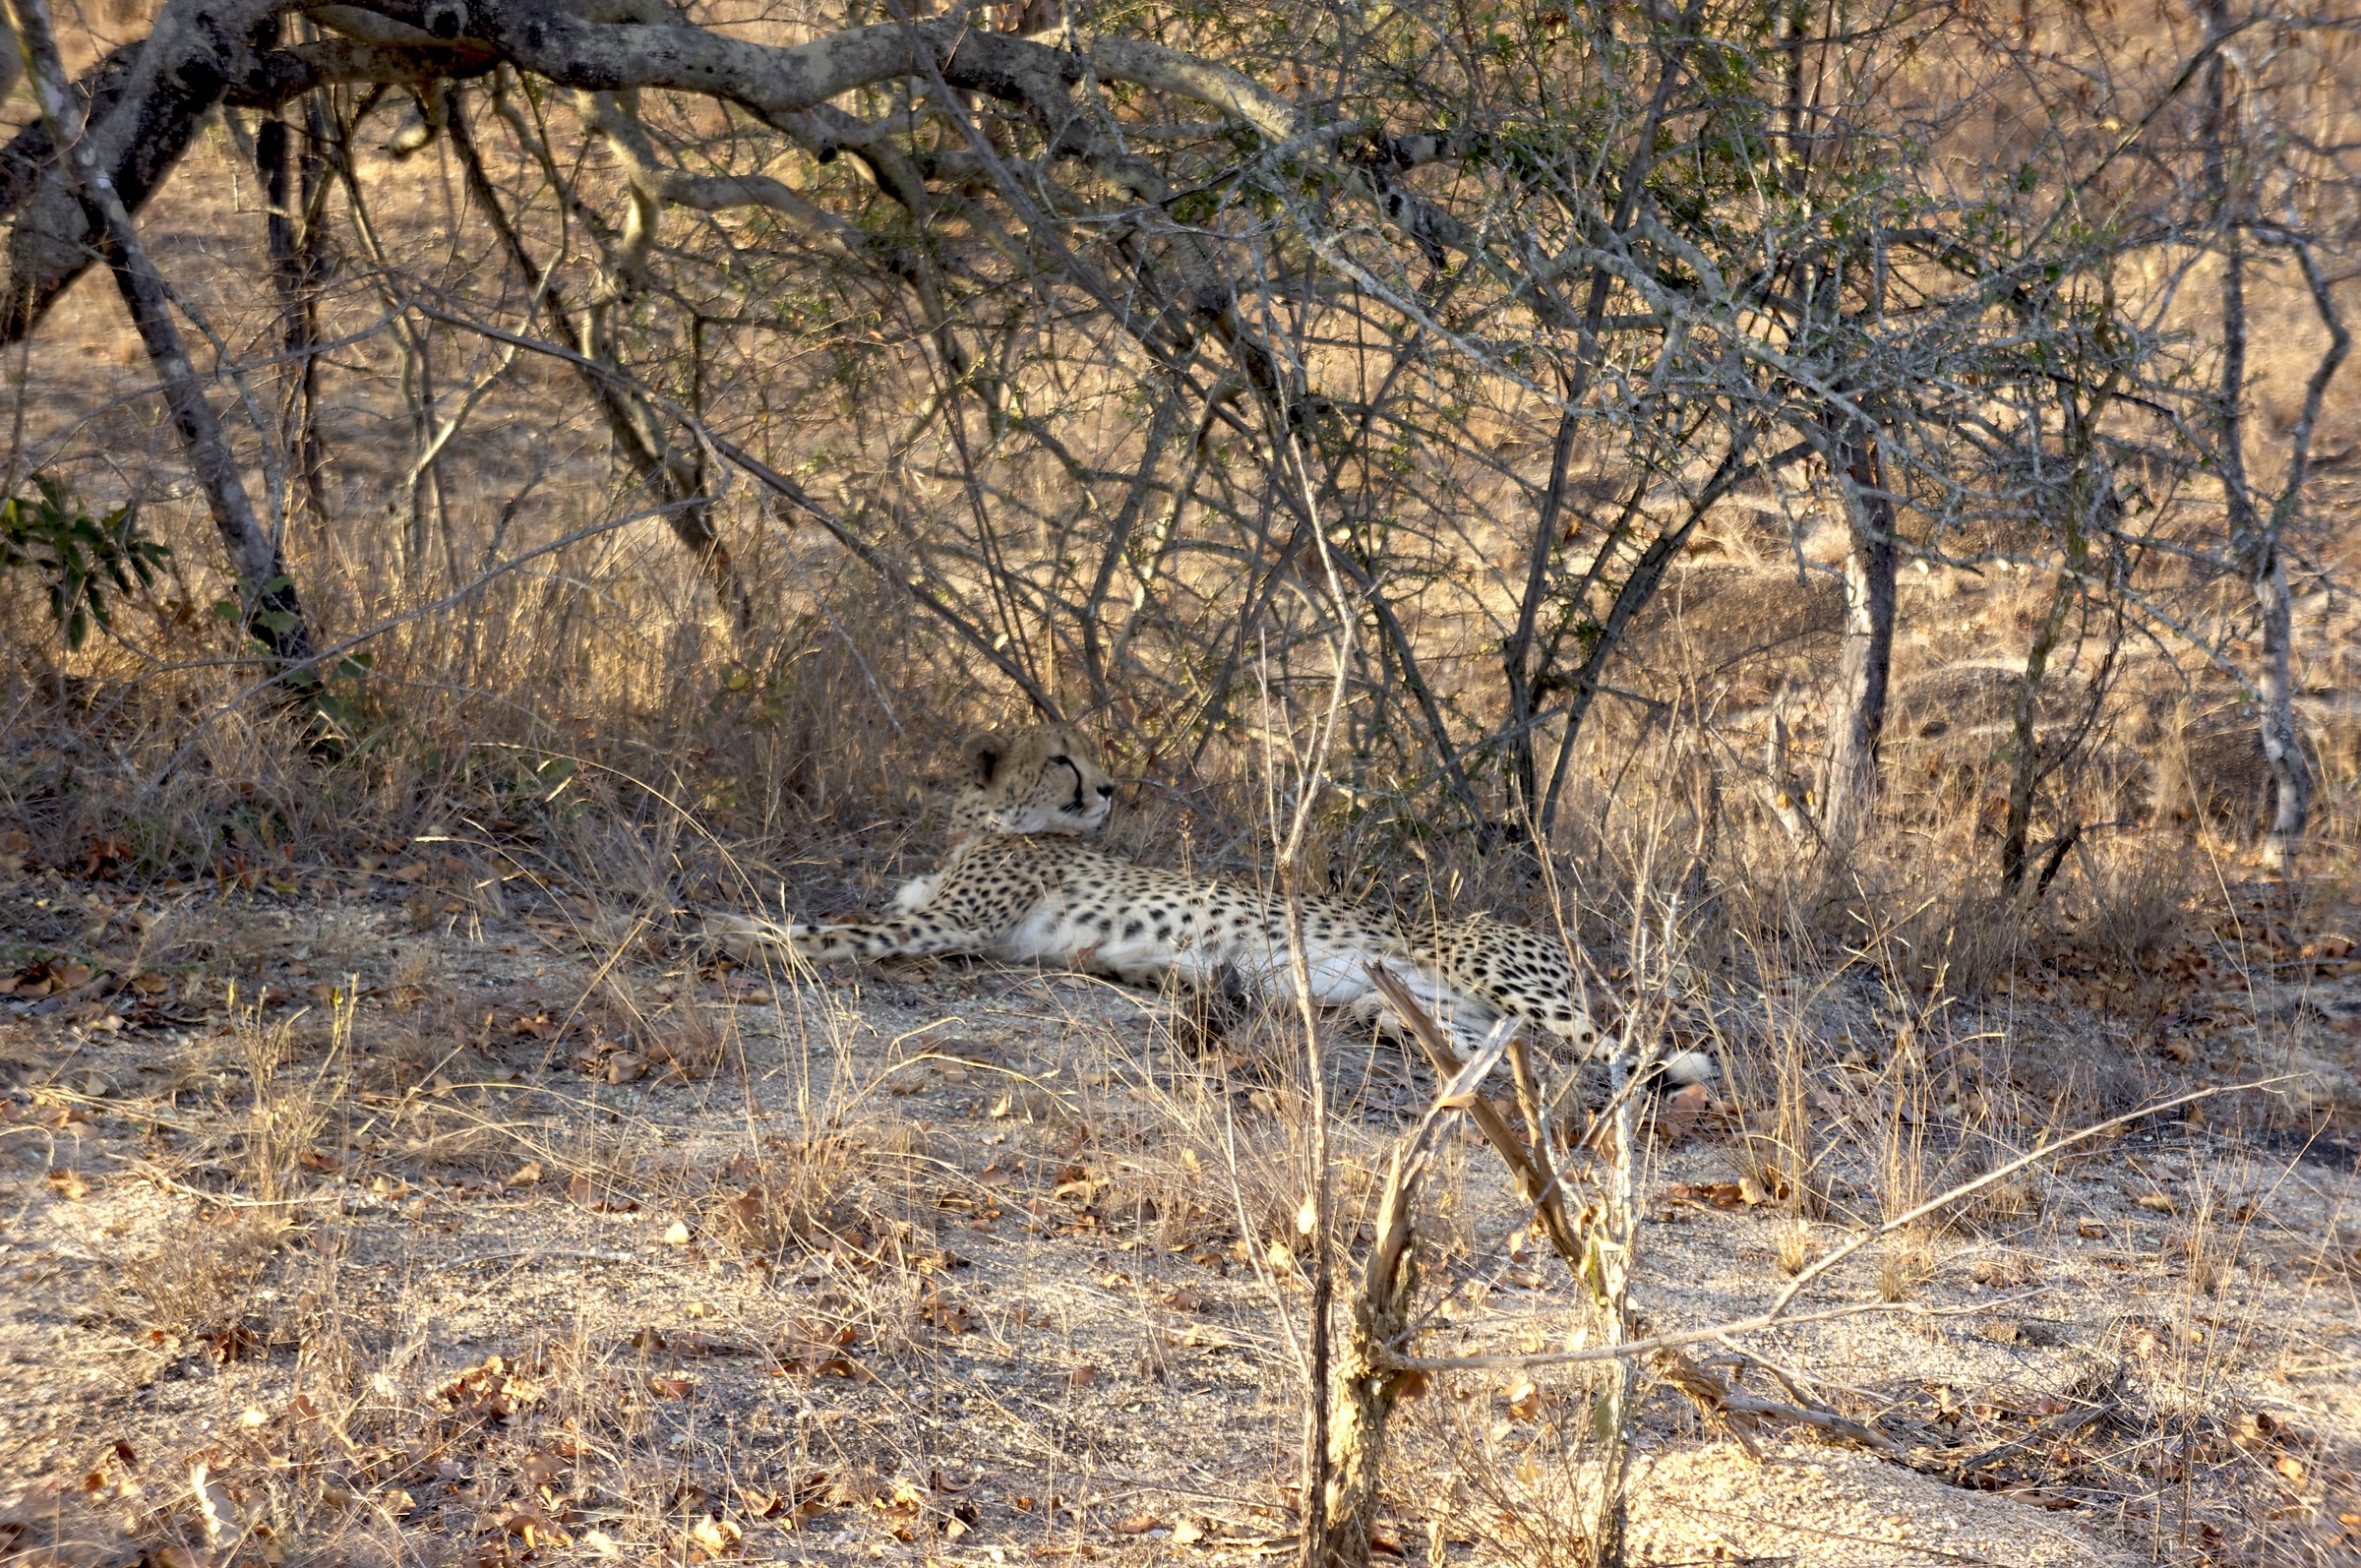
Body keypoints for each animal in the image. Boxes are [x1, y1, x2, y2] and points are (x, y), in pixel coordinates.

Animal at [708, 722, 1710, 1085]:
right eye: (1063, 760)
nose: (1111, 787)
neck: (983, 824)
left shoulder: (943, 925)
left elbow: (828, 930)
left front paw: (727, 928)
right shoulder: (936, 915)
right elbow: (838, 917)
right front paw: (734, 922)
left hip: (1495, 975)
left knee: (1618, 1053)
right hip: (1397, 1008)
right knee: (1508, 1060)